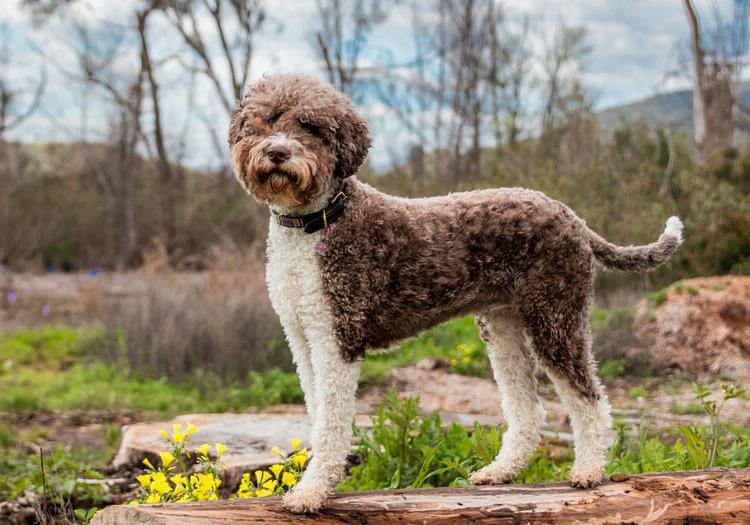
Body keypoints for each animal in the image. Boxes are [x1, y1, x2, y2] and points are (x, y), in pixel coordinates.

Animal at [229, 73, 688, 512]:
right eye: (264, 121)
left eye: (310, 126)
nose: (277, 153)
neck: (318, 222)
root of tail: (573, 217)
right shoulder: (303, 339)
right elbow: (317, 414)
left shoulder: (337, 339)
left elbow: (332, 424)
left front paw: (311, 493)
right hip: (503, 328)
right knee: (528, 409)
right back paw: (500, 472)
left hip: (555, 320)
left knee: (588, 398)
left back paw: (589, 472)